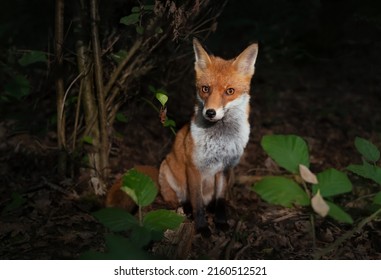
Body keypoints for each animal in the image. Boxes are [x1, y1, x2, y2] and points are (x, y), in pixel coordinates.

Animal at [157, 38, 258, 236]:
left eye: (230, 91)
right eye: (205, 89)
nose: (210, 112)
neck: (220, 140)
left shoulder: (224, 168)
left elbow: (220, 201)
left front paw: (221, 222)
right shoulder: (194, 168)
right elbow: (197, 203)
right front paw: (202, 228)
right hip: (167, 170)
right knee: (178, 201)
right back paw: (185, 210)